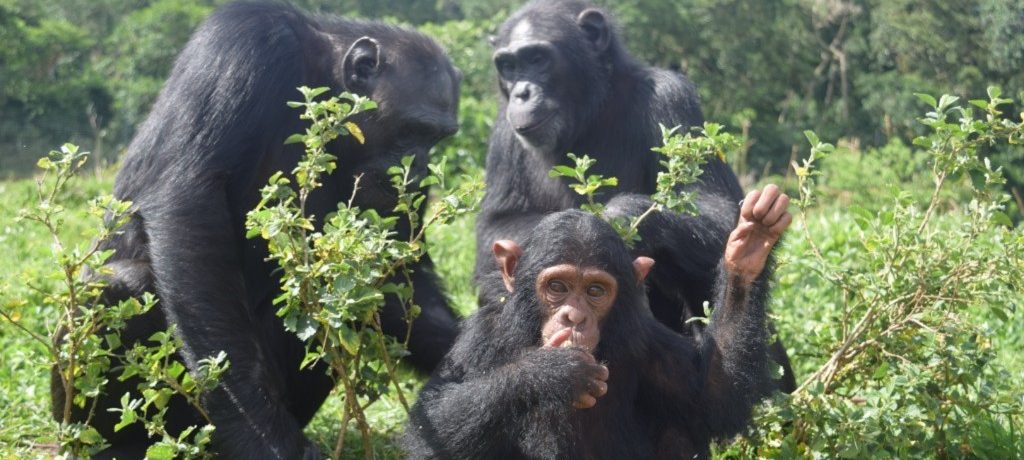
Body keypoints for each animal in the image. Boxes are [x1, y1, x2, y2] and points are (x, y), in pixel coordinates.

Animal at [50, 1, 460, 456]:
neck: (324, 78)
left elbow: (398, 278)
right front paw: (262, 433)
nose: (419, 168)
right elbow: (189, 201)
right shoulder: (244, 42)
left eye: (438, 139)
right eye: (413, 129)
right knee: (117, 287)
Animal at [407, 184, 790, 456]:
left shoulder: (646, 339)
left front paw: (749, 249)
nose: (574, 316)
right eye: (557, 287)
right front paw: (552, 373)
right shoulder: (479, 338)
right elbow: (431, 426)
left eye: (595, 291)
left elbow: (713, 393)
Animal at [473, 0, 798, 391]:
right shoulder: (503, 130)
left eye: (537, 59)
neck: (589, 111)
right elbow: (497, 226)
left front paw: (617, 219)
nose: (521, 91)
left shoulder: (672, 99)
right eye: (508, 65)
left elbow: (717, 207)